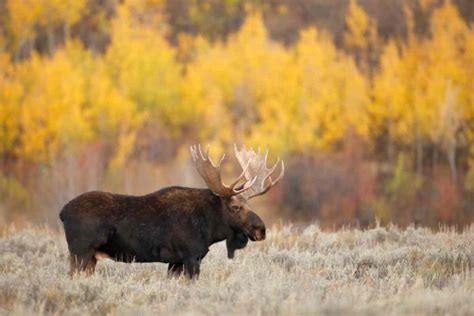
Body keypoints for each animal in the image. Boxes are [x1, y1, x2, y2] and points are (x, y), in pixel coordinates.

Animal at [58, 144, 282, 278]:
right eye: (235, 207)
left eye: (250, 205)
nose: (261, 230)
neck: (209, 229)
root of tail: (62, 212)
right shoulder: (190, 256)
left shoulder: (175, 262)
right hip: (81, 252)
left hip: (89, 258)